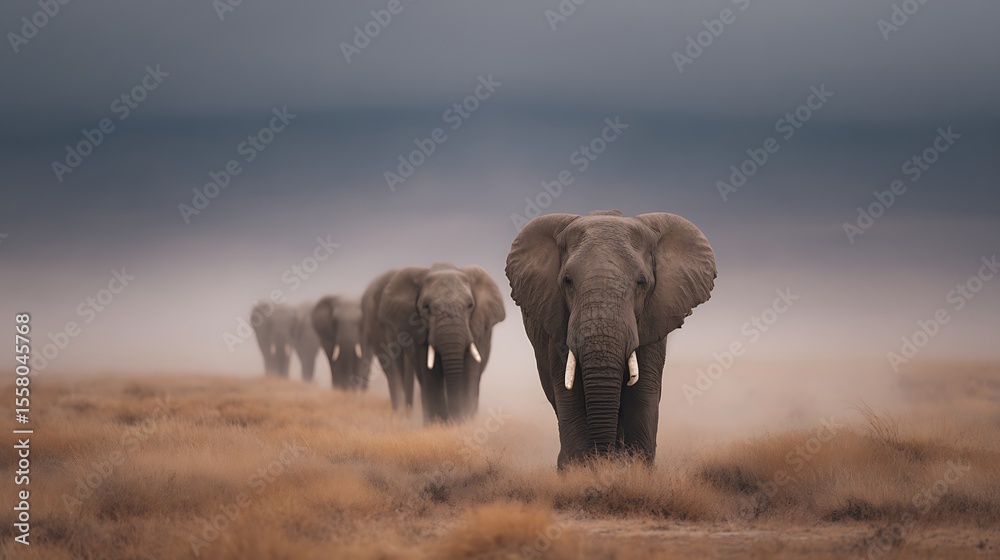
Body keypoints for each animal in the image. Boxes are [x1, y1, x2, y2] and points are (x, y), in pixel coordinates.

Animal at [363, 263, 506, 422]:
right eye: (426, 307)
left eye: (470, 306)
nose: (454, 418)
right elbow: (429, 372)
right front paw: (439, 422)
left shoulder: (477, 328)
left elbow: (470, 368)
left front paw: (464, 421)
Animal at [505, 210, 716, 468]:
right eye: (567, 281)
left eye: (641, 282)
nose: (604, 457)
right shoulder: (557, 321)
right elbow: (569, 393)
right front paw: (578, 469)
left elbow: (643, 391)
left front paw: (635, 468)